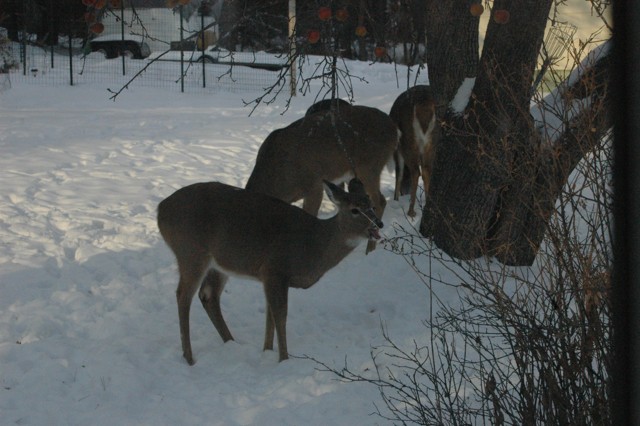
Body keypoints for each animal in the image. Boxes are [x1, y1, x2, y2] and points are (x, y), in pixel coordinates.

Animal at [157, 178, 383, 365]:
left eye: (371, 205)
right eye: (355, 210)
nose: (378, 224)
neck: (313, 245)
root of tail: (160, 210)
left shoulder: (268, 276)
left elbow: (270, 316)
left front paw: (267, 351)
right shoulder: (276, 269)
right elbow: (280, 315)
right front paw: (284, 359)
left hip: (218, 263)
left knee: (208, 294)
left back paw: (230, 342)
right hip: (191, 252)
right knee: (183, 295)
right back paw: (189, 358)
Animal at [389, 85, 440, 217]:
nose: (404, 192)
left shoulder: (397, 149)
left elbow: (399, 174)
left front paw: (395, 199)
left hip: (408, 142)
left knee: (416, 171)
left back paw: (411, 211)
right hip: (432, 142)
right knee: (427, 170)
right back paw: (426, 205)